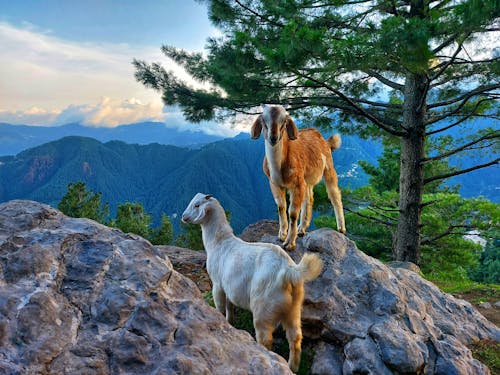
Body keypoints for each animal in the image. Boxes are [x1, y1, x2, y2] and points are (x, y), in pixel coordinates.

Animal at [182, 194, 322, 374]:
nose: (183, 217)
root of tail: (289, 270)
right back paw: (293, 367)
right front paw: (229, 323)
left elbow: (220, 306)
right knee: (295, 338)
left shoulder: (218, 285)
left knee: (266, 339)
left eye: (197, 205)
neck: (220, 242)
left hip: (264, 307)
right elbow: (230, 308)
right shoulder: (230, 288)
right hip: (294, 307)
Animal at [252, 104, 346, 251]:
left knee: (335, 195)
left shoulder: (296, 184)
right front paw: (282, 235)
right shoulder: (274, 183)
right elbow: (281, 207)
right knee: (309, 198)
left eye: (284, 121)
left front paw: (289, 243)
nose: (273, 137)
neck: (279, 167)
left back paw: (341, 228)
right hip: (306, 179)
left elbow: (292, 213)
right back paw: (302, 229)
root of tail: (325, 141)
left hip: (329, 168)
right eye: (263, 120)